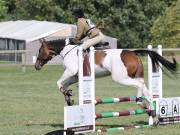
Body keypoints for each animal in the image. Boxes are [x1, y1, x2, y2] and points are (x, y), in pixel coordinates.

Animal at [34, 38, 178, 123]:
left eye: (40, 50)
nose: (36, 66)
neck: (67, 50)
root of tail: (133, 52)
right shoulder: (75, 76)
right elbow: (65, 85)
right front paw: (69, 97)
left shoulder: (70, 71)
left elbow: (59, 83)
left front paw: (68, 95)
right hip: (137, 76)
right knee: (146, 91)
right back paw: (152, 114)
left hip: (120, 78)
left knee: (139, 86)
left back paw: (140, 102)